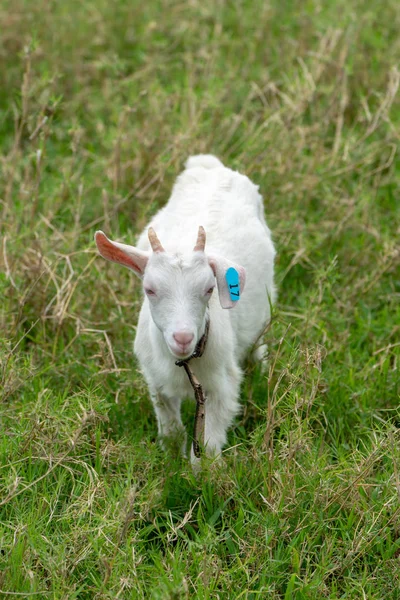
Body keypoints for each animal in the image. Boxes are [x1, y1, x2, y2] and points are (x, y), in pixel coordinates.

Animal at [94, 154, 276, 460]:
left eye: (209, 289)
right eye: (149, 289)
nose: (182, 337)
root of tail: (210, 166)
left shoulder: (222, 387)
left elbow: (208, 445)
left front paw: (207, 470)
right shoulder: (156, 382)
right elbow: (171, 429)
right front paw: (169, 454)